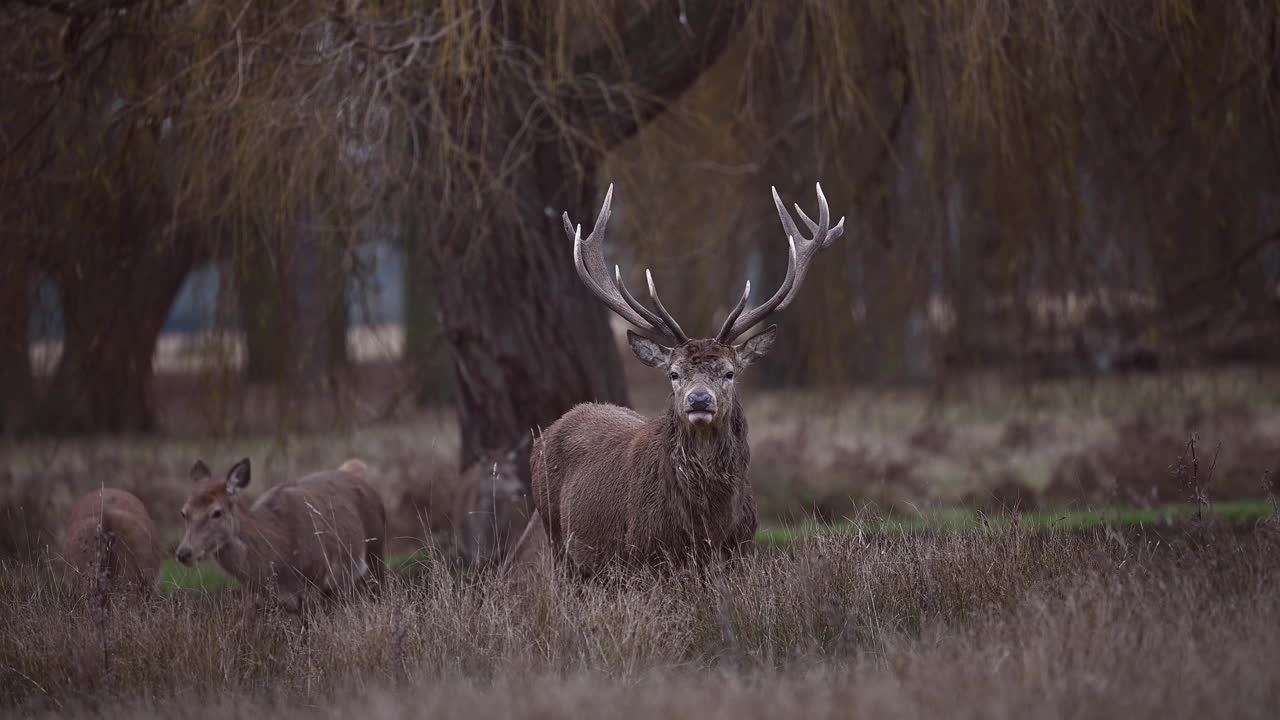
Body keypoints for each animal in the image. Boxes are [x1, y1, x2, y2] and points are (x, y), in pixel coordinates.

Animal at [176, 456, 384, 607]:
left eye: (217, 512)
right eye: (184, 512)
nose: (184, 553)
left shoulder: (314, 582)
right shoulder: (265, 599)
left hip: (376, 551)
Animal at [524, 181, 844, 573]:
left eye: (729, 372)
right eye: (674, 373)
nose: (699, 399)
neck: (706, 526)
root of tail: (544, 435)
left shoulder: (741, 549)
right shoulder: (644, 553)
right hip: (557, 539)